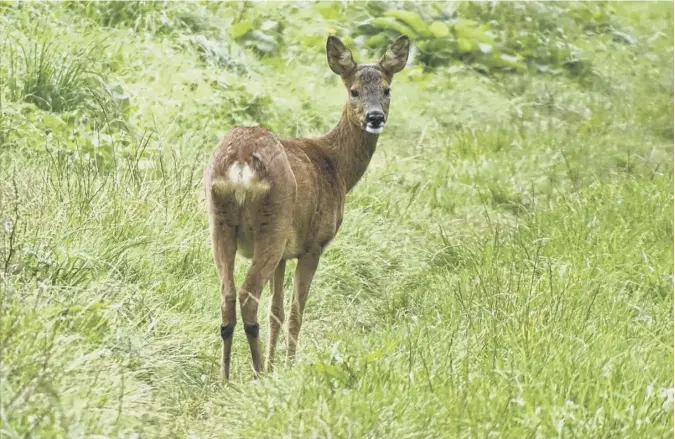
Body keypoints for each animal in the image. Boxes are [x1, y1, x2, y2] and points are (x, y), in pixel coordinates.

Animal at [203, 34, 410, 382]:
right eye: (354, 91)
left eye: (386, 90)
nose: (375, 117)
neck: (336, 167)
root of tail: (241, 163)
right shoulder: (313, 244)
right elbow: (296, 311)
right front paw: (287, 367)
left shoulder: (286, 254)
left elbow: (276, 311)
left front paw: (276, 365)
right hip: (272, 223)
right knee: (247, 296)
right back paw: (256, 374)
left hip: (220, 223)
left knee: (227, 296)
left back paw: (226, 378)